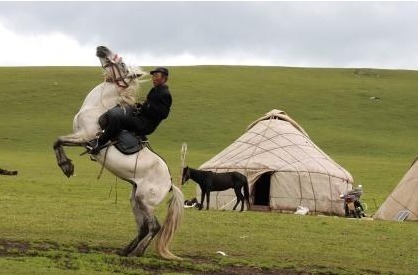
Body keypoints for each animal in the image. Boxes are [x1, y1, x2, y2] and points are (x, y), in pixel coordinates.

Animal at [53, 45, 184, 260]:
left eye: (122, 64)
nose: (102, 48)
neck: (96, 107)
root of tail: (171, 183)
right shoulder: (79, 137)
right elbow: (58, 142)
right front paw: (67, 166)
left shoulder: (84, 137)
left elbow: (57, 141)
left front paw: (66, 167)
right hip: (135, 200)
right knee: (143, 227)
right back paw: (125, 250)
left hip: (144, 200)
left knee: (154, 226)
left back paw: (137, 252)